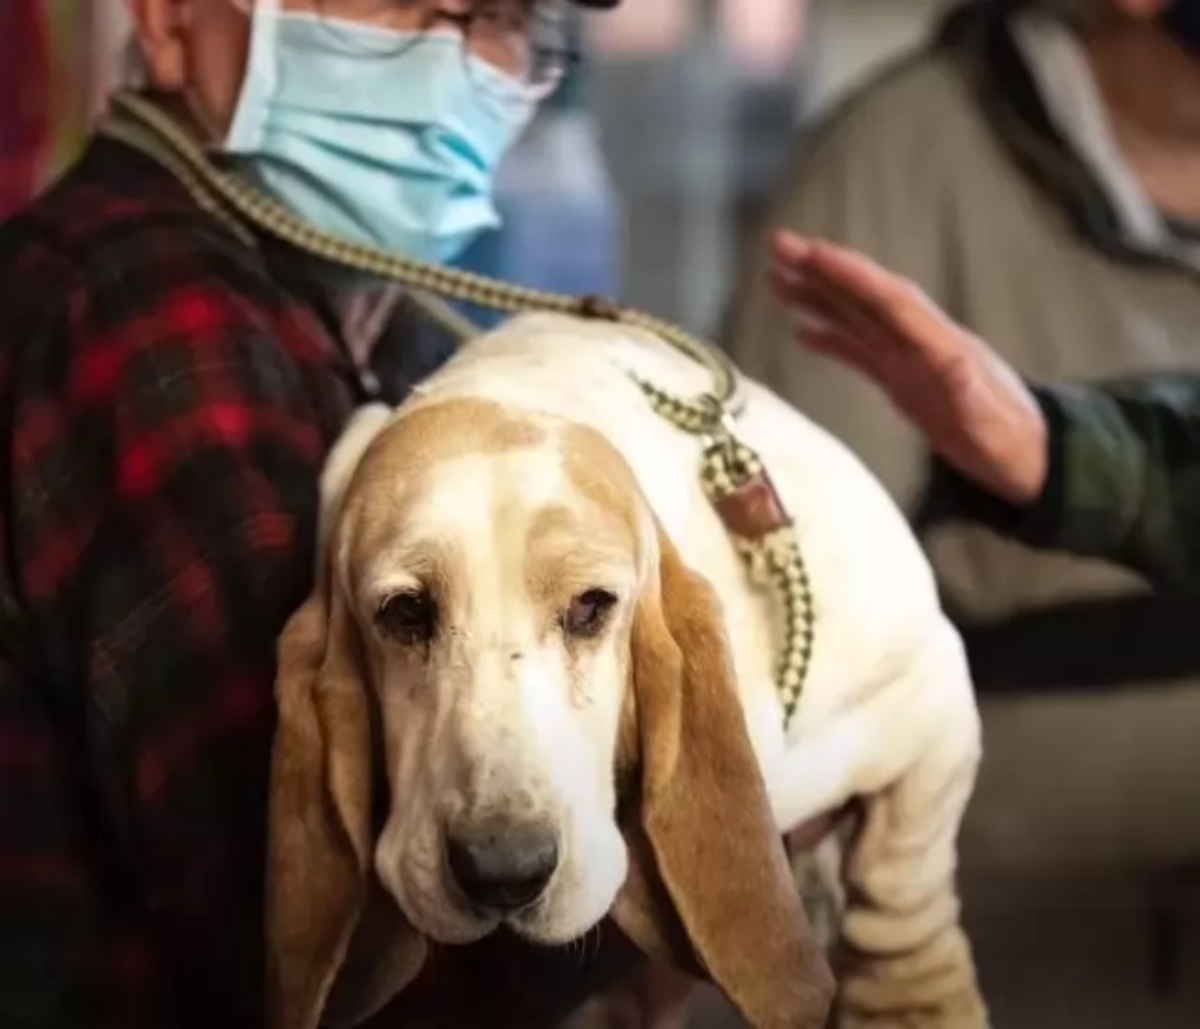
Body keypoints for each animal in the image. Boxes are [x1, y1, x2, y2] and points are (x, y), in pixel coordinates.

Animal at [267, 311, 988, 1026]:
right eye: (405, 612)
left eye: (592, 606)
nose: (504, 869)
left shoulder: (932, 689)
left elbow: (900, 884)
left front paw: (915, 1001)